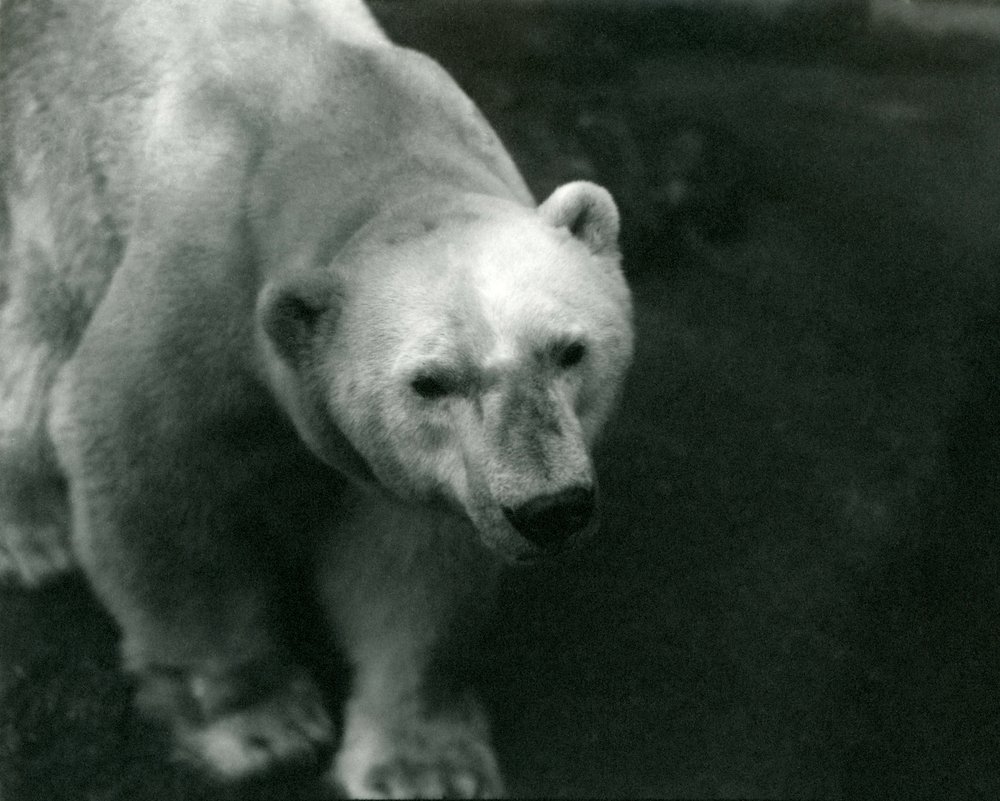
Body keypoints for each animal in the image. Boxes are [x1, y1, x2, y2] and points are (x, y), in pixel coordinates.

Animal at [0, 0, 634, 796]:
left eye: (569, 351)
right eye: (432, 381)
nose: (551, 509)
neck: (350, 127)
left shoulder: (444, 474)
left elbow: (410, 559)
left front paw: (421, 763)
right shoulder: (201, 298)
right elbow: (154, 483)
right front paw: (261, 723)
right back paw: (31, 529)